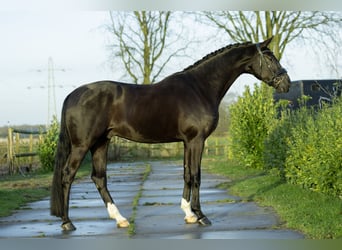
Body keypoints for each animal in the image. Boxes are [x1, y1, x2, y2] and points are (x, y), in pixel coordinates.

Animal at [51, 37, 292, 230]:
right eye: (270, 58)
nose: (286, 84)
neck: (200, 88)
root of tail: (72, 95)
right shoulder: (197, 140)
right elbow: (196, 175)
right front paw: (201, 215)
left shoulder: (187, 141)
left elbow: (186, 174)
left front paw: (188, 214)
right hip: (83, 145)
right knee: (67, 175)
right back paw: (67, 222)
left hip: (101, 142)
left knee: (99, 178)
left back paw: (120, 219)